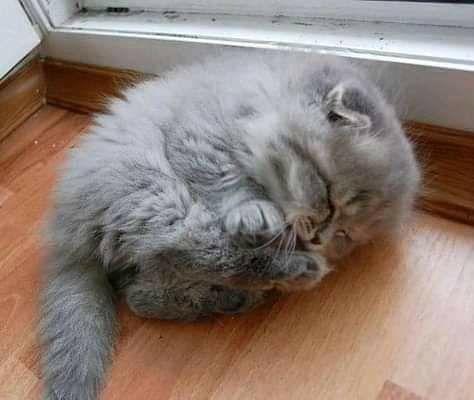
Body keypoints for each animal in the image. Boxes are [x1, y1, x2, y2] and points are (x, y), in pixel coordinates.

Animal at [40, 50, 420, 400]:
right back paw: (296, 271)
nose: (318, 238)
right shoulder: (202, 137)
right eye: (328, 196)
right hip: (157, 194)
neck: (261, 94)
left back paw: (237, 296)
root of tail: (65, 232)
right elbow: (230, 183)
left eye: (345, 235)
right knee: (193, 256)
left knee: (144, 293)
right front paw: (256, 214)